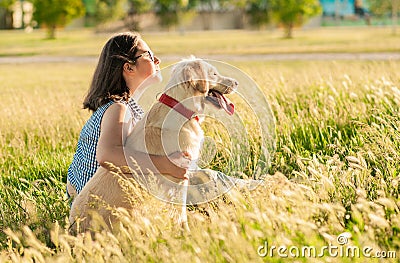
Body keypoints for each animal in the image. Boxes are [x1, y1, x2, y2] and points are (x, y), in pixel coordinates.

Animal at [69, 57, 238, 233]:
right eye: (214, 74)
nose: (237, 82)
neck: (180, 108)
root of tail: (74, 228)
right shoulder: (179, 177)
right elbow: (181, 211)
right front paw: (185, 232)